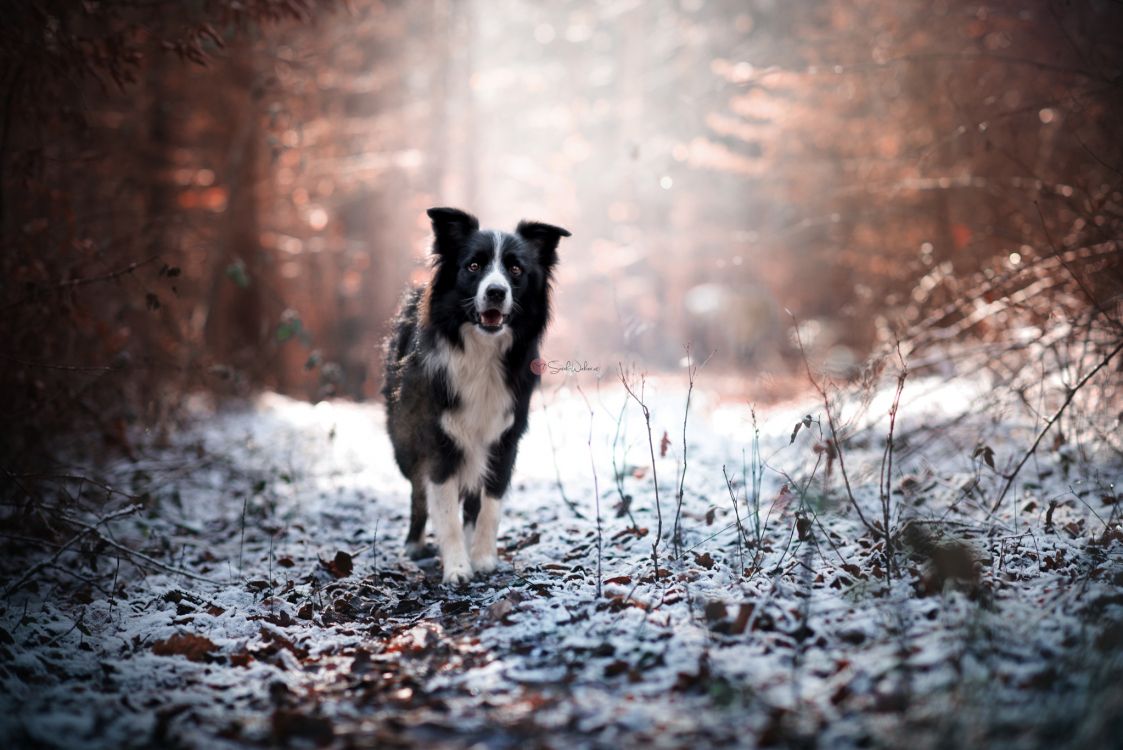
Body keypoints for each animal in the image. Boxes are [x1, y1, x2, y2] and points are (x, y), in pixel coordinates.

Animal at [381, 206, 570, 583]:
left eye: (515, 269)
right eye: (473, 266)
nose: (496, 291)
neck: (482, 351)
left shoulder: (504, 439)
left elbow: (489, 505)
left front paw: (481, 557)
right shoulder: (438, 439)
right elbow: (442, 508)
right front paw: (456, 567)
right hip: (404, 441)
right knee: (417, 491)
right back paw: (414, 543)